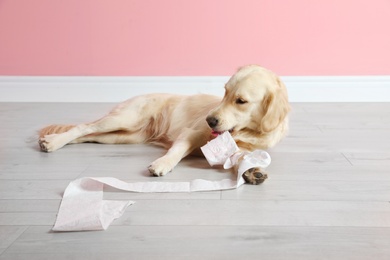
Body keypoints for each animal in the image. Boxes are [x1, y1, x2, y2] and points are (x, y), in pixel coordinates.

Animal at [38, 64, 290, 185]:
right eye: (225, 92)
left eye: (241, 101)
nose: (210, 119)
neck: (248, 131)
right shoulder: (191, 133)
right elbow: (176, 152)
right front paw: (161, 164)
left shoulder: (239, 148)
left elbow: (242, 159)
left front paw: (253, 172)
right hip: (123, 119)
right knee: (84, 127)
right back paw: (53, 142)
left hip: (121, 135)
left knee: (87, 135)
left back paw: (50, 140)